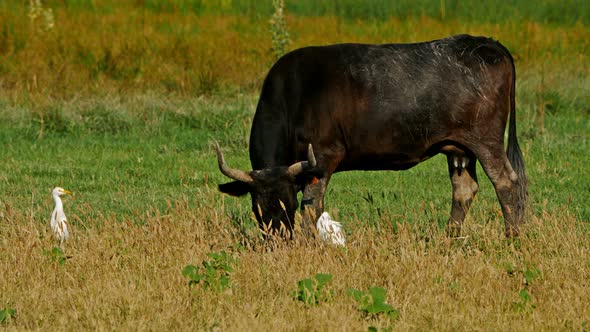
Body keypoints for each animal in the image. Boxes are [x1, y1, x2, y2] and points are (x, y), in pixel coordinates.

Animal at [215, 33, 528, 237]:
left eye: (288, 202)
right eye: (258, 208)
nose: (279, 241)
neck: (292, 97)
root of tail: (487, 43)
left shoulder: (324, 157)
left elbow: (312, 208)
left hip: (485, 139)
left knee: (506, 181)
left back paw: (512, 237)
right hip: (459, 148)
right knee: (464, 189)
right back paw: (449, 238)